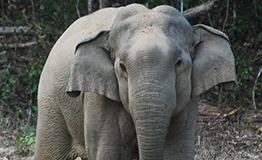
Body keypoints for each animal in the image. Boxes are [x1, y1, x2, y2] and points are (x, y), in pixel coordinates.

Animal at [34, 3, 237, 160]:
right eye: (122, 66)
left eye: (179, 63)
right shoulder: (98, 99)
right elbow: (108, 154)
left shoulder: (188, 101)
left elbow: (177, 152)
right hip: (49, 100)